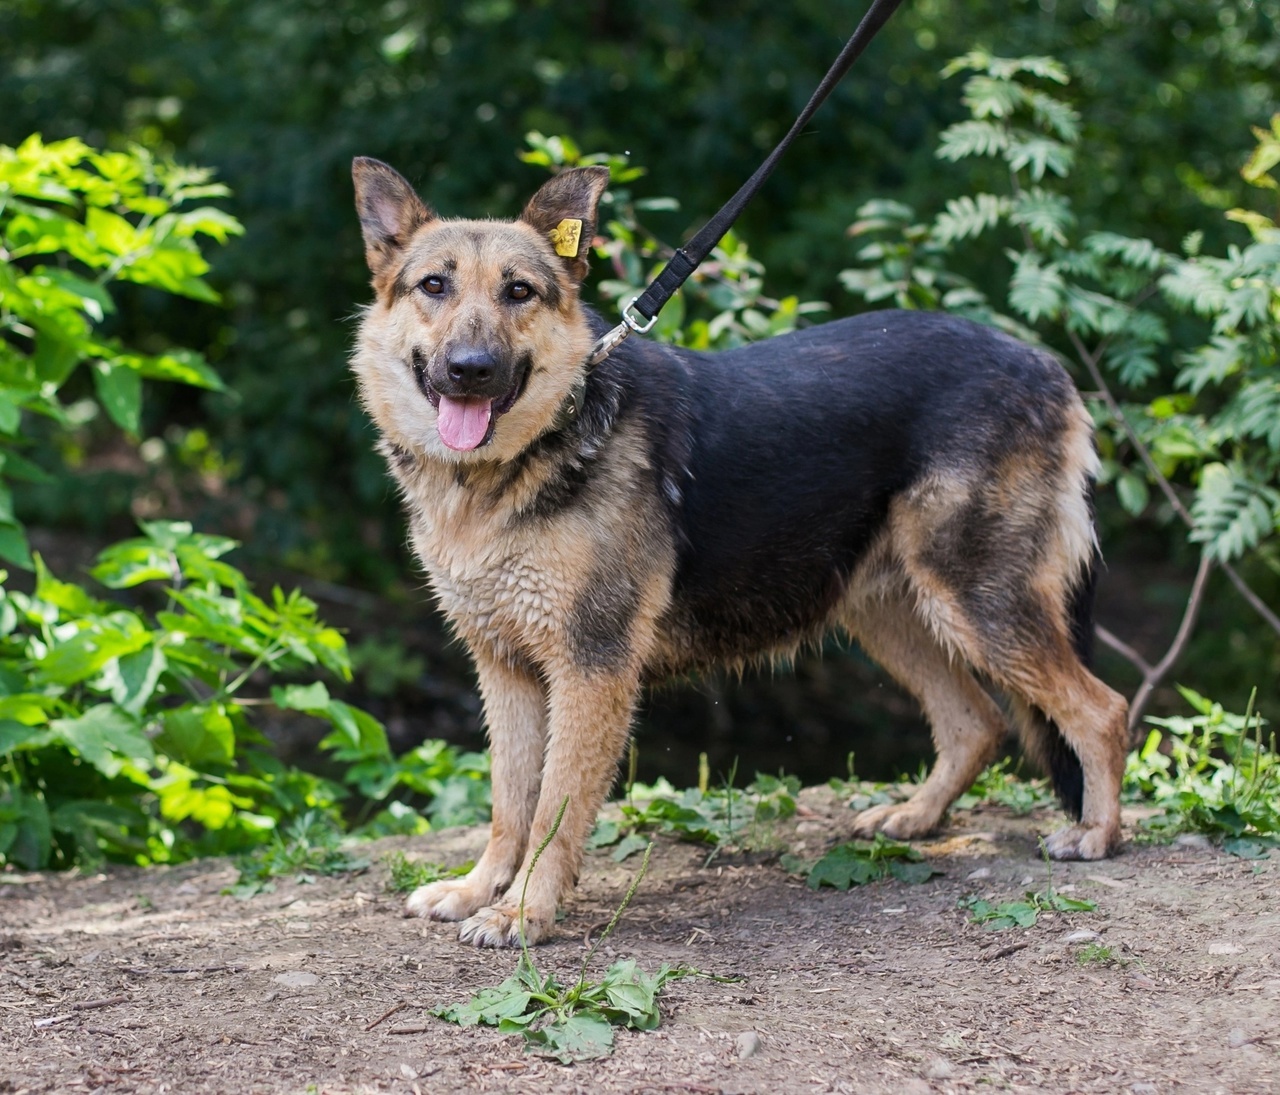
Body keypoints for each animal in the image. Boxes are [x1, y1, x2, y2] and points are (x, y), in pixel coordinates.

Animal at [350, 156, 1131, 952]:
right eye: (433, 286)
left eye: (519, 292)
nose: (470, 369)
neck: (510, 467)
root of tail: (1044, 362)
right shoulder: (504, 667)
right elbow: (509, 802)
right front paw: (479, 889)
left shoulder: (589, 668)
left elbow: (553, 810)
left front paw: (522, 912)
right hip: (887, 611)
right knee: (978, 722)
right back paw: (917, 816)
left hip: (978, 603)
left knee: (1103, 709)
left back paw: (1097, 834)